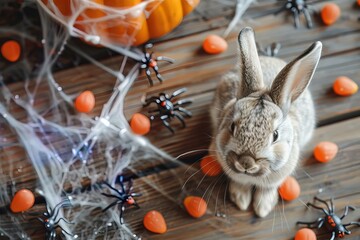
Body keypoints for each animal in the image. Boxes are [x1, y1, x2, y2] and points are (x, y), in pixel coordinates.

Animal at [208, 27, 324, 218]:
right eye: (232, 127)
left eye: (275, 135)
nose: (246, 163)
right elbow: (240, 183)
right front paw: (241, 199)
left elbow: (268, 189)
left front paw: (263, 208)